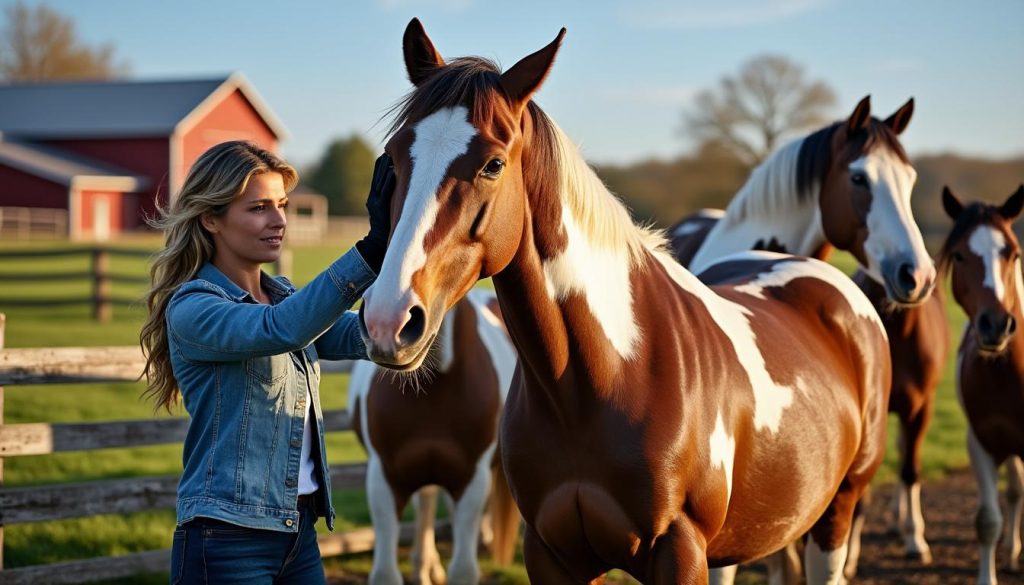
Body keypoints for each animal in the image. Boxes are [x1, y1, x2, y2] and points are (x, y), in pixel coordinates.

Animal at [348, 289, 520, 584]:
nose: (389, 326)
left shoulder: (472, 478)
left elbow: (463, 570)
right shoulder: (383, 477)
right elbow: (385, 573)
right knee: (426, 500)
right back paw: (423, 567)